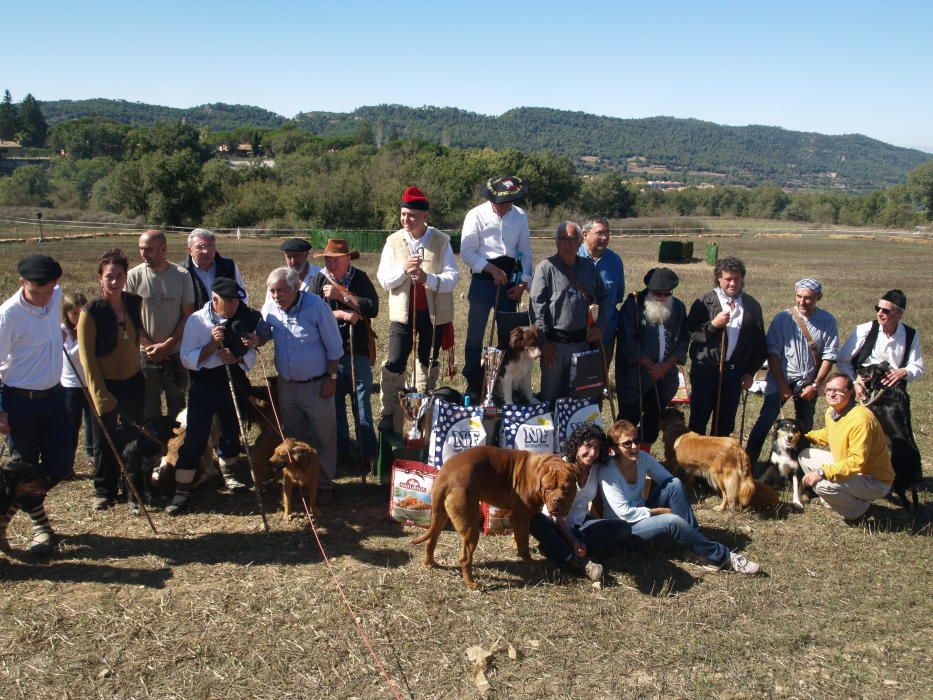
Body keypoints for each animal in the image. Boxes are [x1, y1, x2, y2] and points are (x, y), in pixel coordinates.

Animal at [412, 446, 580, 588]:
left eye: (567, 488)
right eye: (548, 488)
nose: (557, 500)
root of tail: (444, 477)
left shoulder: (521, 518)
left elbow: (519, 539)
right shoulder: (521, 517)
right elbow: (524, 547)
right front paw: (532, 565)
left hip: (440, 516)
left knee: (431, 541)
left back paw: (430, 563)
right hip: (470, 526)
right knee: (465, 558)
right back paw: (471, 583)